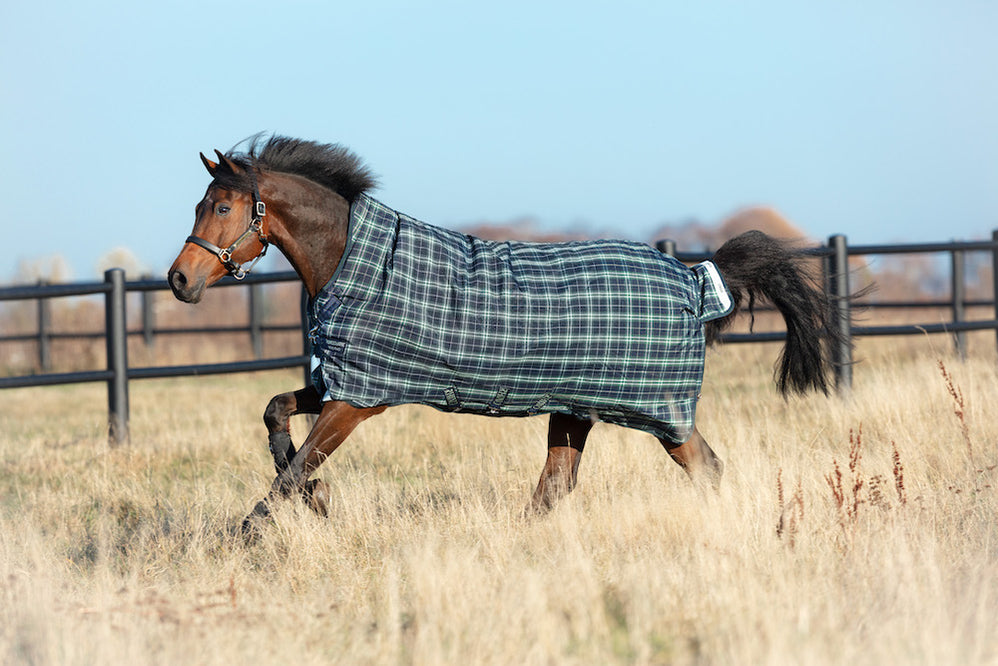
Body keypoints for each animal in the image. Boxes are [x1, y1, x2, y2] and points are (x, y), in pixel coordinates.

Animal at [168, 135, 841, 528]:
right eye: (198, 205)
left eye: (222, 207)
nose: (180, 279)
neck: (350, 259)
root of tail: (694, 278)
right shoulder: (344, 383)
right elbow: (277, 416)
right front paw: (319, 498)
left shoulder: (359, 400)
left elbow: (292, 470)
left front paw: (255, 532)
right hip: (574, 410)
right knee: (554, 491)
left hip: (655, 410)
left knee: (706, 469)